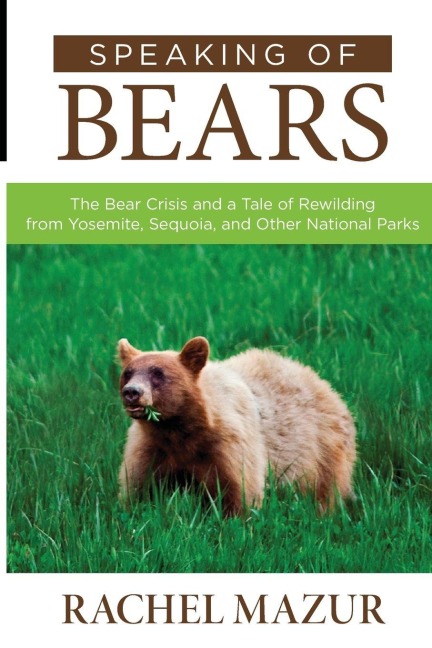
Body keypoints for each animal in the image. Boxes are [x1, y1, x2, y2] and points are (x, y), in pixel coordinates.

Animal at [118, 336, 356, 515]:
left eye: (158, 373)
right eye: (127, 372)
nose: (132, 392)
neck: (179, 431)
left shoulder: (228, 446)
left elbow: (239, 491)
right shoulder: (149, 448)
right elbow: (138, 488)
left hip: (324, 454)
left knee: (325, 492)